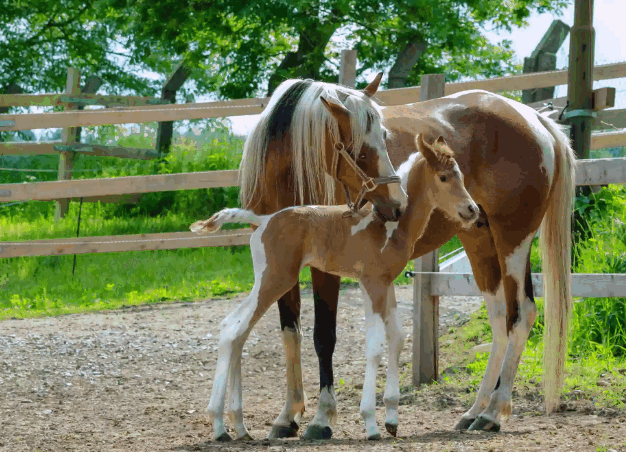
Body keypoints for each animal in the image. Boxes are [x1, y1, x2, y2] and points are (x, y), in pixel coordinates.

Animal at [190, 134, 478, 442]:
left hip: (267, 280)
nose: (472, 210)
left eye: (461, 175)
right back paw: (220, 426)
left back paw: (238, 426)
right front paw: (371, 423)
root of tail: (263, 221)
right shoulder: (371, 283)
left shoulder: (386, 283)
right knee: (235, 330)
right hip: (275, 280)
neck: (389, 225)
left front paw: (391, 418)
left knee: (233, 330)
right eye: (444, 177)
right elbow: (375, 345)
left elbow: (398, 338)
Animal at [255, 87, 576, 434]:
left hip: (512, 242)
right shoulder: (283, 264)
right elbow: (291, 333)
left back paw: (492, 413)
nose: (397, 203)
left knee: (522, 314)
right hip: (480, 242)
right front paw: (288, 416)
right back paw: (474, 411)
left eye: (383, 139)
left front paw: (322, 418)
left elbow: (324, 336)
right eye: (360, 151)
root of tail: (537, 120)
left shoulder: (326, 270)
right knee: (500, 318)